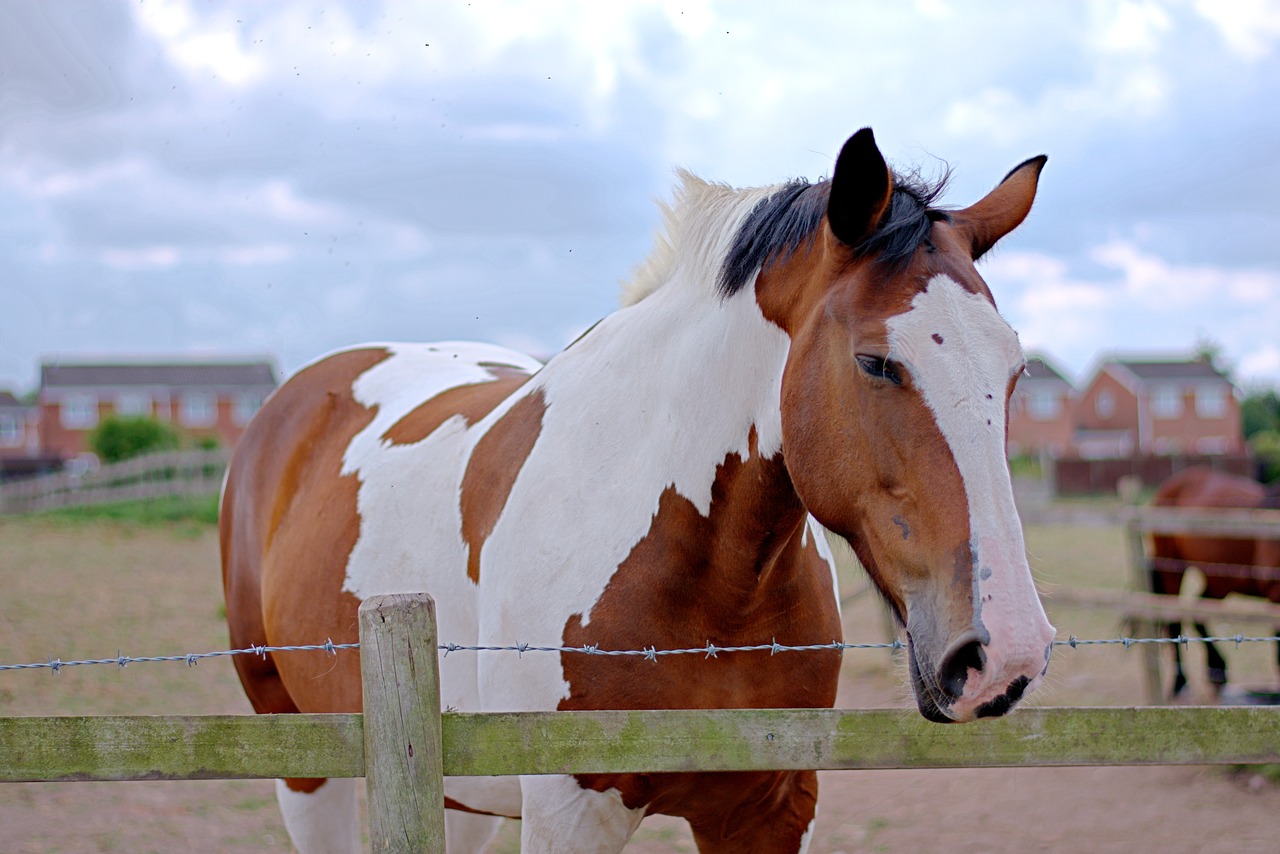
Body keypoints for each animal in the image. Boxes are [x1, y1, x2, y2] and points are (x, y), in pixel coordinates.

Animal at [220, 128, 1054, 854]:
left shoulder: (771, 808)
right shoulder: (569, 813)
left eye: (1015, 371)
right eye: (876, 362)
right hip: (304, 764)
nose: (1004, 651)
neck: (705, 587)